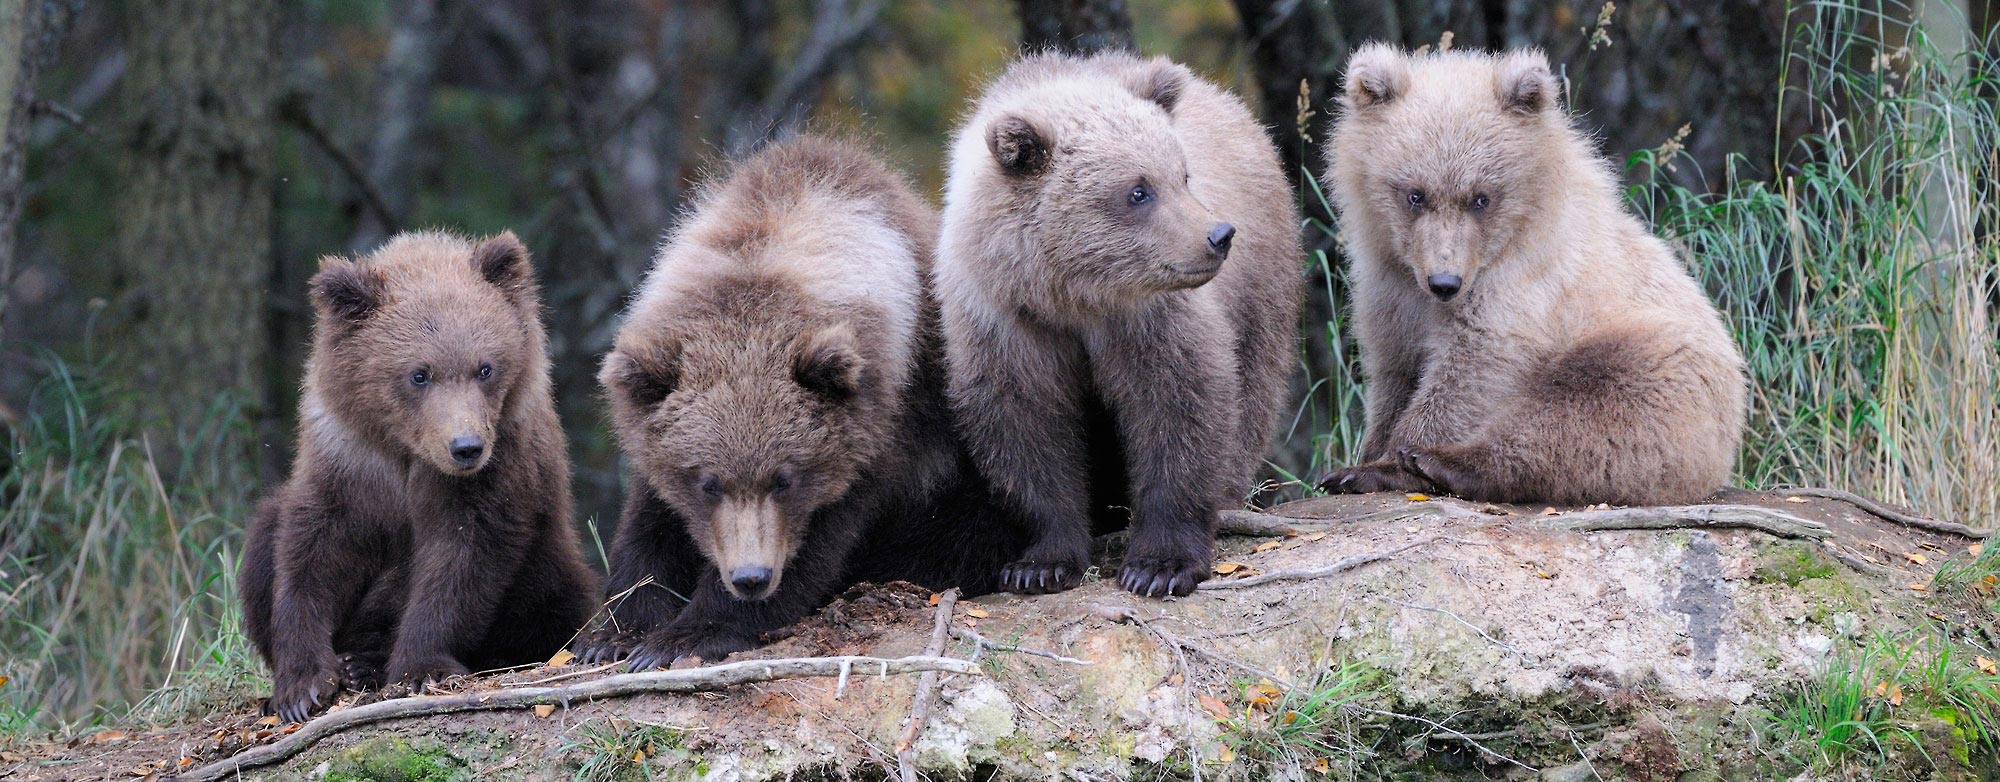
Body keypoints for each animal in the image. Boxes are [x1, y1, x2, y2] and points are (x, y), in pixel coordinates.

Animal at [239, 231, 597, 722]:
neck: (407, 451)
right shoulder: (349, 462)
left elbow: (462, 556)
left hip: (547, 564)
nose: (466, 447)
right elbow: (312, 552)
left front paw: (419, 668)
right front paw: (301, 687)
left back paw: (366, 662)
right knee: (263, 542)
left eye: (485, 367)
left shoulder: (496, 468)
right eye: (419, 374)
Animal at [576, 135, 1022, 671]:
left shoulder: (879, 438)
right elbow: (649, 527)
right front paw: (613, 634)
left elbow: (818, 546)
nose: (750, 577)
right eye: (708, 482)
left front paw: (682, 636)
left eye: (784, 478)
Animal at [935, 51, 1304, 598]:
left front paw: (1159, 566)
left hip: (1264, 283)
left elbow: (1178, 406)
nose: (1218, 234)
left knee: (1254, 388)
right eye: (1138, 190)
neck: (1069, 295)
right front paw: (1038, 564)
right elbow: (1026, 427)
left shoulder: (1147, 317)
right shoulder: (1006, 323)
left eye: (1182, 175)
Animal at [1317, 45, 1748, 506]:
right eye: (1415, 194)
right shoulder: (1390, 286)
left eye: (1481, 197)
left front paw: (1384, 463)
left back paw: (1448, 464)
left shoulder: (1523, 288)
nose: (1445, 282)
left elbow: (1473, 369)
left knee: (1583, 415)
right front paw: (1367, 452)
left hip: (1659, 361)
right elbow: (1393, 368)